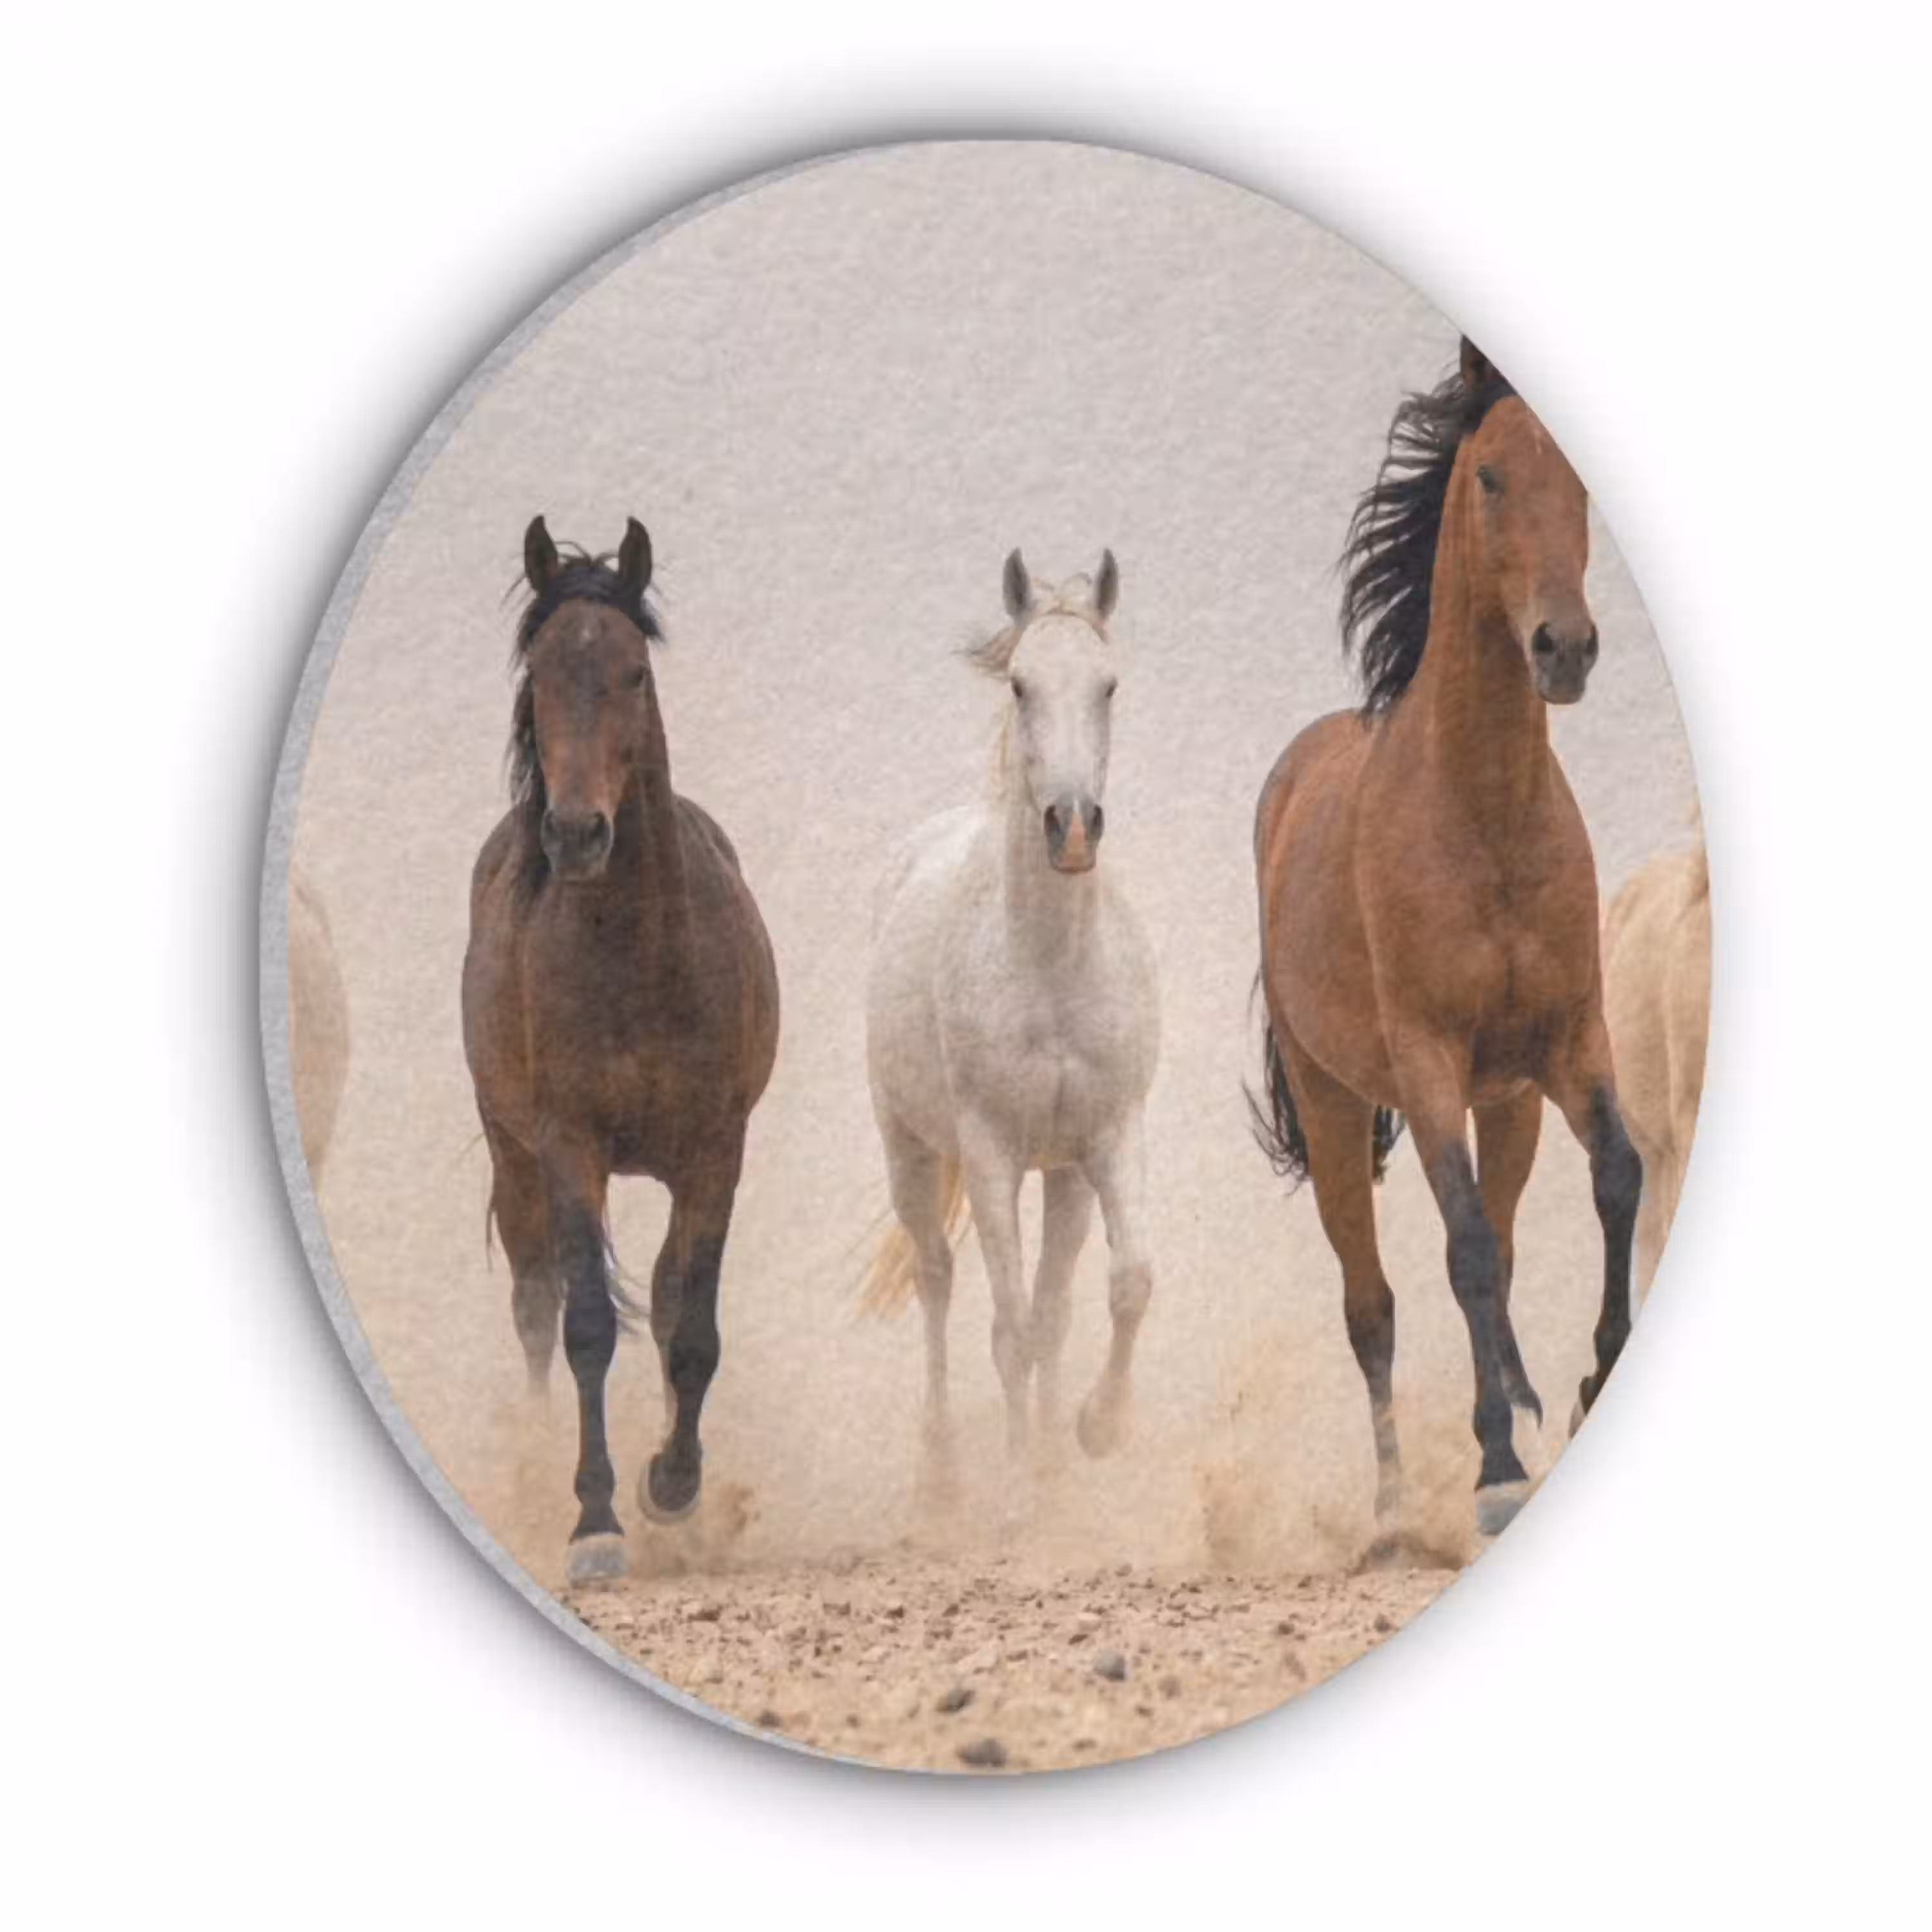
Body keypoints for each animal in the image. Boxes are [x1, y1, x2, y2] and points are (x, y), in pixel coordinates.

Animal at [461, 516, 779, 1583]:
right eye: (540, 673)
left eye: (635, 672)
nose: (575, 832)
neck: (638, 959)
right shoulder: (568, 1147)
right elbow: (588, 1327)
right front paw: (594, 1522)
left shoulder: (717, 1152)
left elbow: (693, 1329)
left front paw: (671, 1486)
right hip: (513, 1156)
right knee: (534, 1302)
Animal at [862, 549, 1159, 1507]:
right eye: (1023, 684)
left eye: (1109, 685)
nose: (1072, 827)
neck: (1050, 967)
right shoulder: (990, 1155)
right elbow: (1012, 1328)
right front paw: (1022, 1499)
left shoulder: (1107, 1138)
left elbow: (1123, 1287)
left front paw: (1094, 1434)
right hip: (913, 1153)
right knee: (938, 1279)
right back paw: (944, 1473)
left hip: (1060, 1176)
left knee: (1057, 1304)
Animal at [1252, 338, 1642, 1539]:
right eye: (1492, 478)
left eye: (1580, 488)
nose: (1566, 648)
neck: (1485, 818)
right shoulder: (1426, 1065)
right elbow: (1461, 1250)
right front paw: (1497, 1468)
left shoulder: (1567, 1042)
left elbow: (1618, 1178)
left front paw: (1592, 1381)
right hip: (1336, 1106)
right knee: (1372, 1303)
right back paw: (1390, 1513)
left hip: (1507, 1104)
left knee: (1505, 1252)